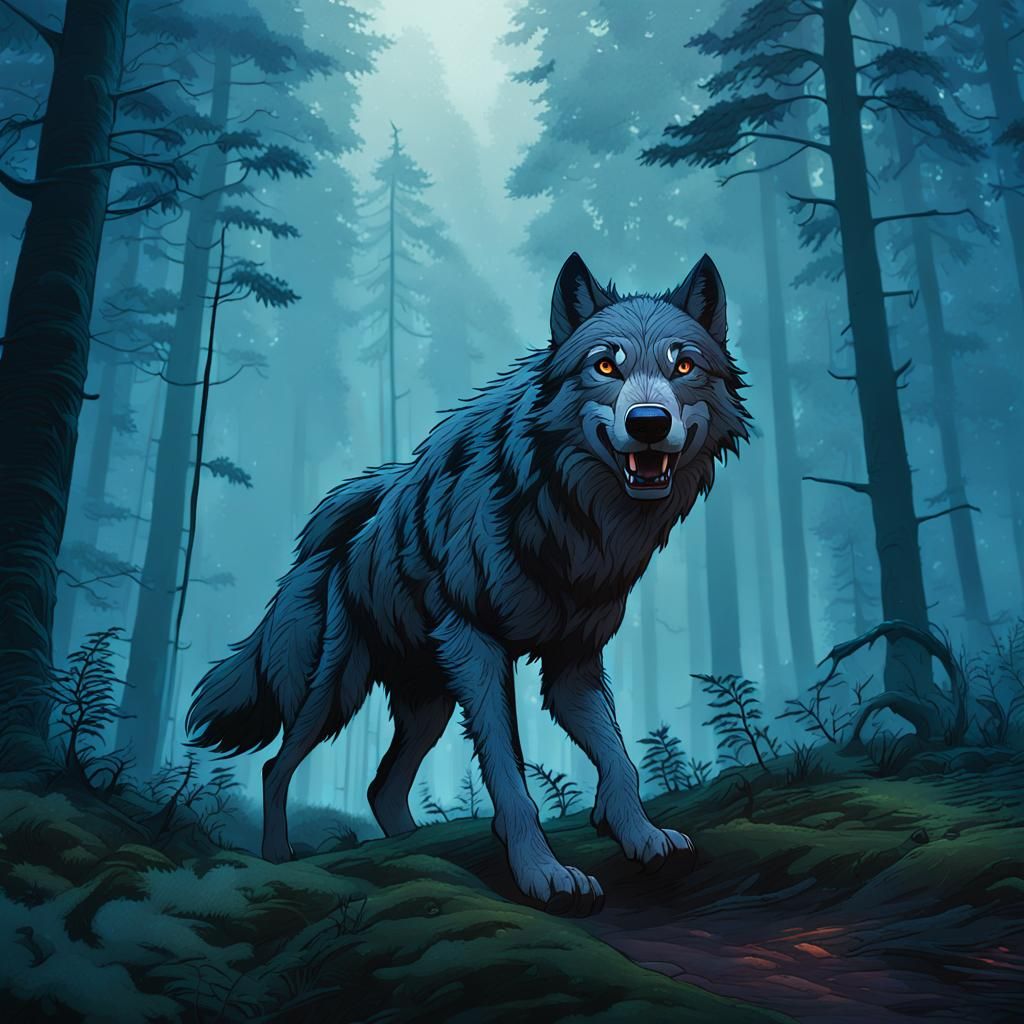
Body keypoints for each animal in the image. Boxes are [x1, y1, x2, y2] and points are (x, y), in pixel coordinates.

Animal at [188, 252, 748, 915]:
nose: (648, 423)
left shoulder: (573, 666)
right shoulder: (477, 646)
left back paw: (411, 850)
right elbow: (511, 777)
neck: (567, 519)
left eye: (682, 365)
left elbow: (619, 759)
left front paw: (638, 832)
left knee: (381, 788)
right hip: (333, 693)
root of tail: (319, 535)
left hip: (427, 708)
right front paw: (544, 873)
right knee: (277, 768)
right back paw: (280, 858)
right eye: (605, 365)